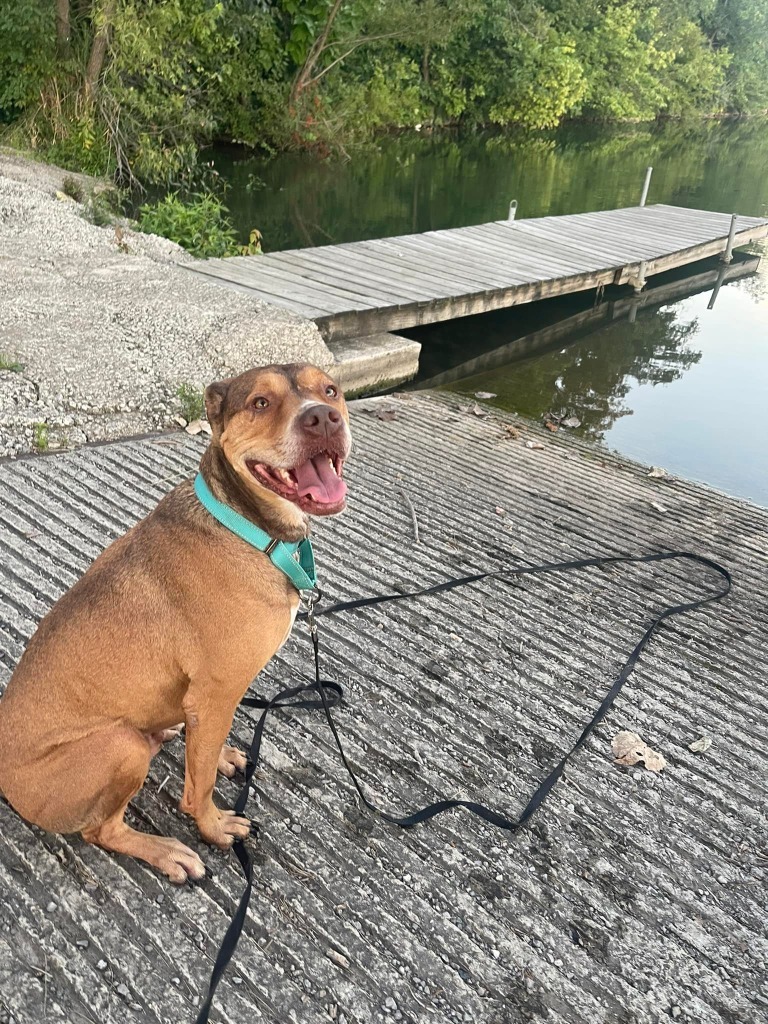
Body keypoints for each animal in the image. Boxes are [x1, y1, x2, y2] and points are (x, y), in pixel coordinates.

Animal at [0, 364, 354, 884]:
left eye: (330, 390)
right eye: (260, 403)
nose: (323, 418)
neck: (245, 524)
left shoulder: (211, 700)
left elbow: (205, 751)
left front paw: (219, 755)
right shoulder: (217, 690)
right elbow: (198, 785)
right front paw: (213, 827)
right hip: (119, 746)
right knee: (100, 830)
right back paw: (164, 850)